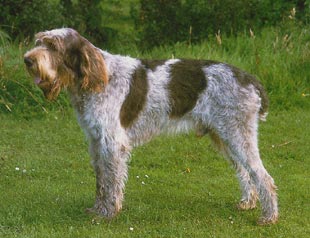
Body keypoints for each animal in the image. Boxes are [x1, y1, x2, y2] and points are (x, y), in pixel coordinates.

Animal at [23, 28, 278, 225]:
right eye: (39, 42)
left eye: (53, 46)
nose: (27, 59)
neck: (95, 79)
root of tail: (249, 79)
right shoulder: (96, 142)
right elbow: (101, 181)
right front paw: (97, 209)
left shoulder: (112, 144)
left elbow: (111, 182)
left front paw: (108, 213)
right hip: (225, 137)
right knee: (245, 172)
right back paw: (247, 203)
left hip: (237, 135)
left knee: (263, 176)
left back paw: (269, 217)